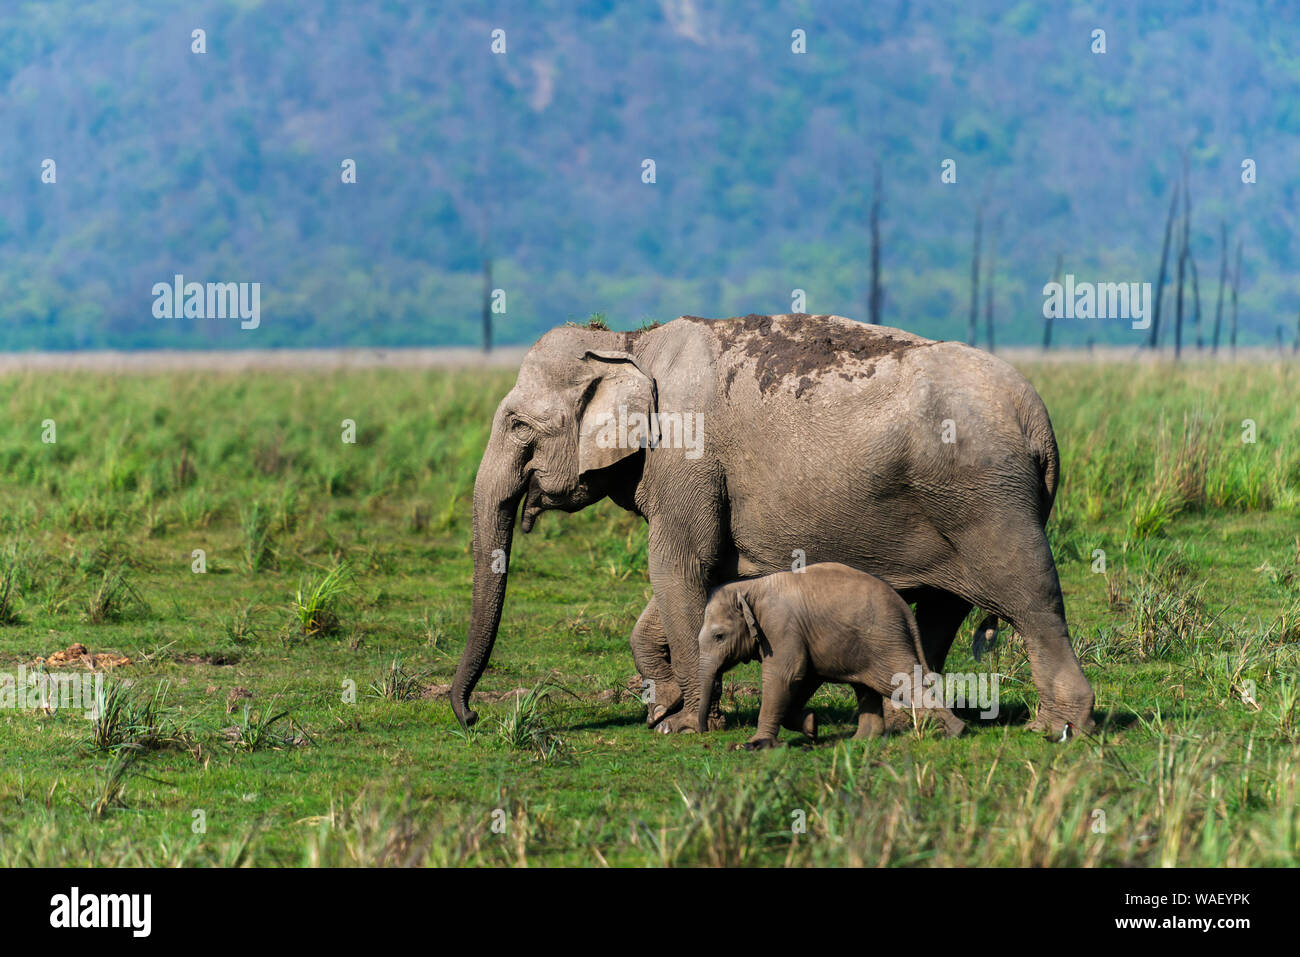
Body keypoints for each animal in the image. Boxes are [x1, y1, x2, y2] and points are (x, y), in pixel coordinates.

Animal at [702, 561, 967, 748]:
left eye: (719, 636)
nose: (703, 730)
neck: (750, 588)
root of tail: (904, 609)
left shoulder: (780, 627)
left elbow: (787, 674)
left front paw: (757, 745)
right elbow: (805, 677)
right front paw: (812, 726)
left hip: (883, 638)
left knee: (897, 681)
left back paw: (955, 732)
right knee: (866, 687)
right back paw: (861, 740)